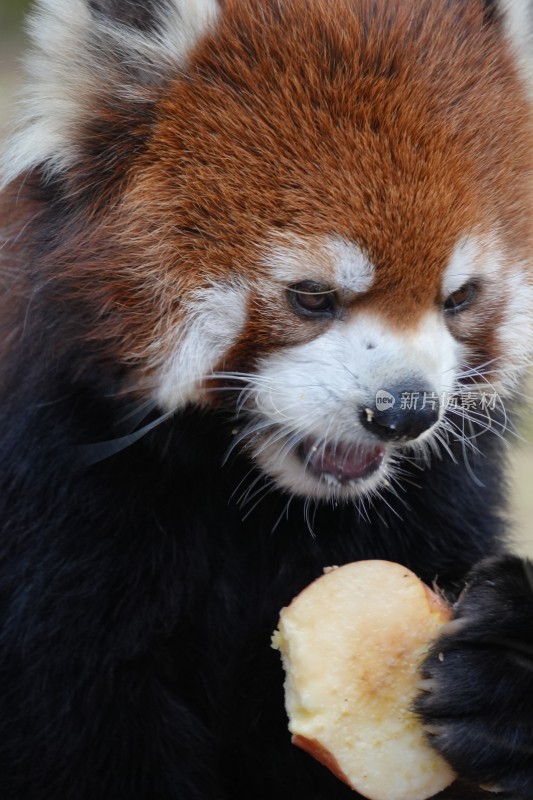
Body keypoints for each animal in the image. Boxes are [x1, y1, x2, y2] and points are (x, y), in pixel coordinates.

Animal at [0, 0, 528, 796]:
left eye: (460, 297)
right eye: (312, 297)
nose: (403, 413)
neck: (257, 501)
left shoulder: (436, 499)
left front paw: (507, 665)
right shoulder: (55, 501)